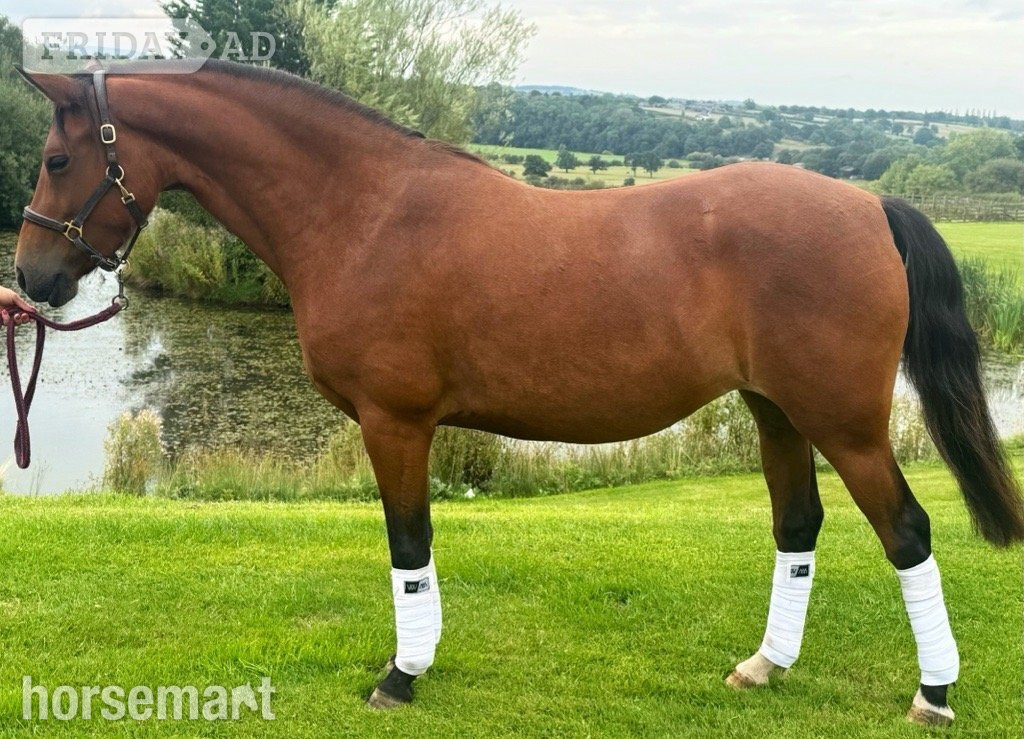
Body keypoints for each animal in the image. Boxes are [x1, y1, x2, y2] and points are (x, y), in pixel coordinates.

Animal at [14, 60, 1022, 726]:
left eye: (58, 160)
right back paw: (766, 665)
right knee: (797, 526)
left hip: (846, 423)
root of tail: (867, 205)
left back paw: (933, 693)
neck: (363, 210)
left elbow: (409, 545)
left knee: (907, 533)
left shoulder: (395, 423)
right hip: (777, 411)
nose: (31, 277)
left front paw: (402, 674)